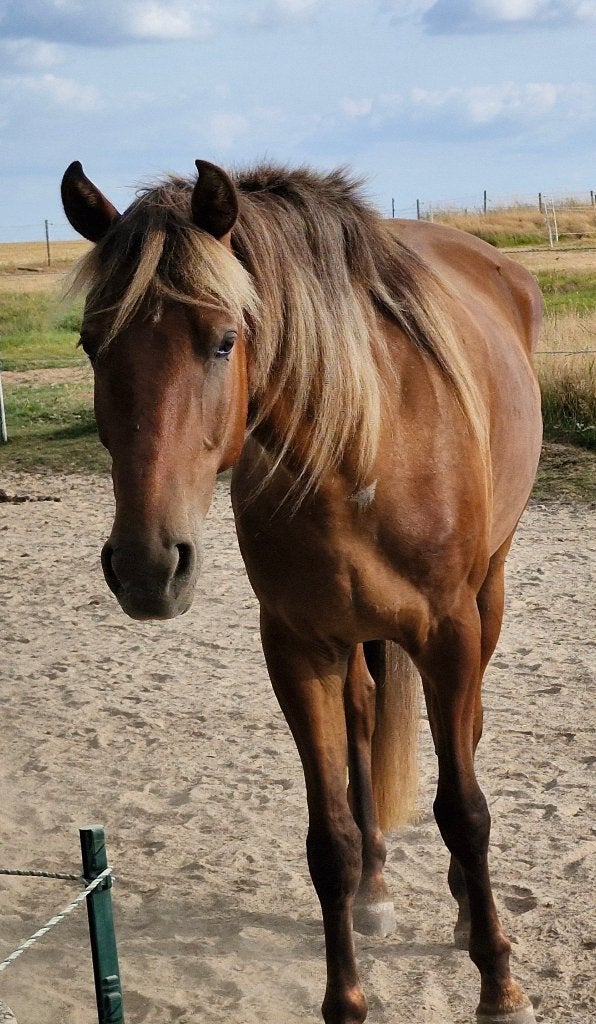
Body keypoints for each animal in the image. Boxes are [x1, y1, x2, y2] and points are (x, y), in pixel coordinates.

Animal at [61, 157, 543, 1024]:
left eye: (224, 340)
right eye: (92, 344)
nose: (148, 566)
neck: (364, 445)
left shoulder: (448, 633)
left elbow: (465, 810)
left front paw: (499, 983)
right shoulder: (295, 647)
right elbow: (330, 839)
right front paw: (345, 998)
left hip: (486, 595)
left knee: (468, 735)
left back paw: (464, 908)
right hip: (351, 641)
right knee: (363, 728)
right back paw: (377, 891)